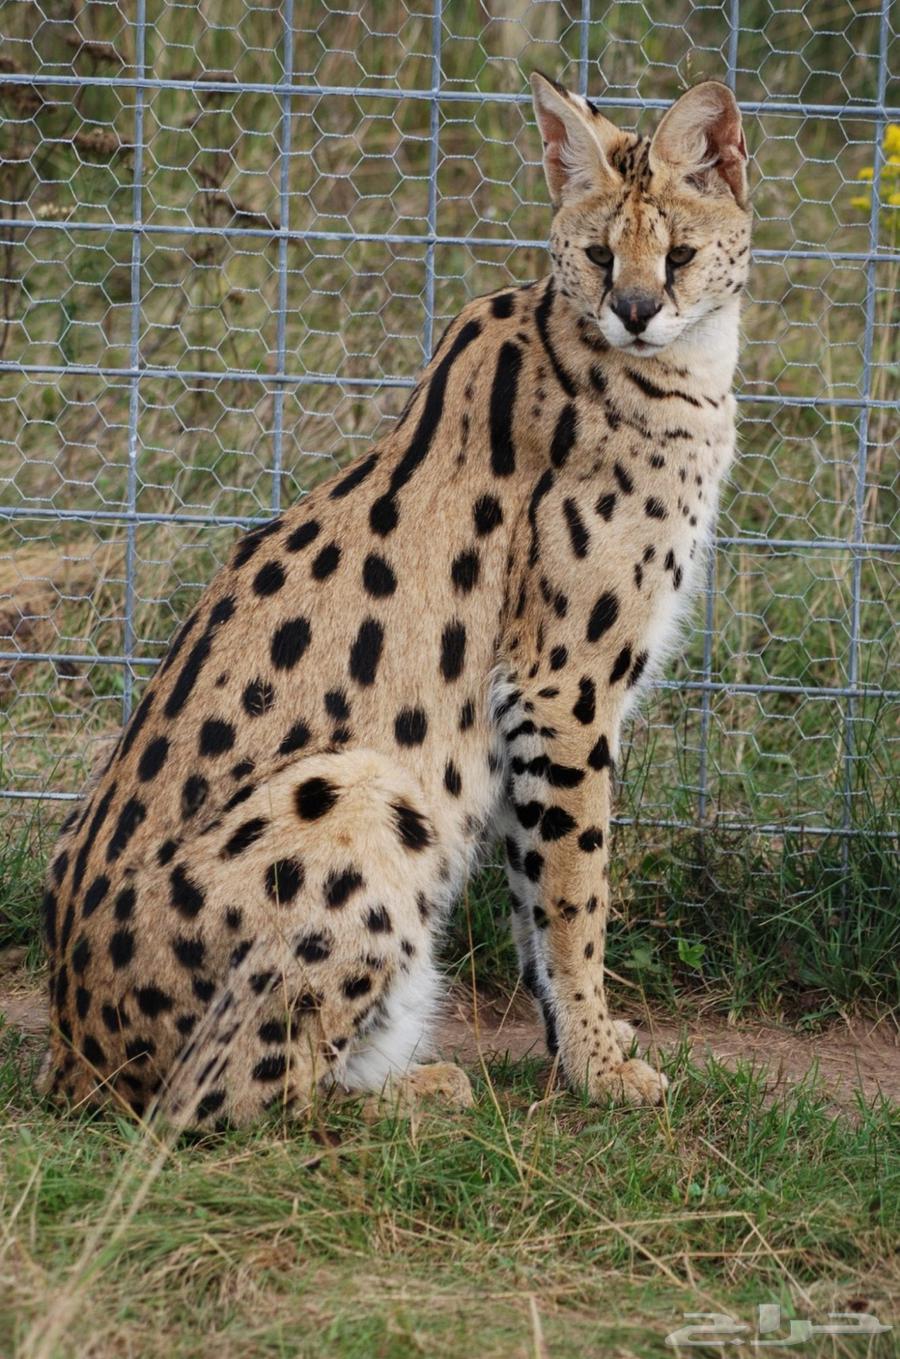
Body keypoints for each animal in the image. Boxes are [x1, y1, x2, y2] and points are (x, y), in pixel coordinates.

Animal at [38, 72, 751, 1128]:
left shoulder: (528, 708)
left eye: (679, 255)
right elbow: (577, 890)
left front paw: (578, 1046)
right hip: (356, 788)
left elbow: (535, 890)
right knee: (216, 1102)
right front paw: (597, 1068)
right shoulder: (564, 684)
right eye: (595, 254)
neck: (685, 371)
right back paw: (413, 1088)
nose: (632, 308)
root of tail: (68, 1045)